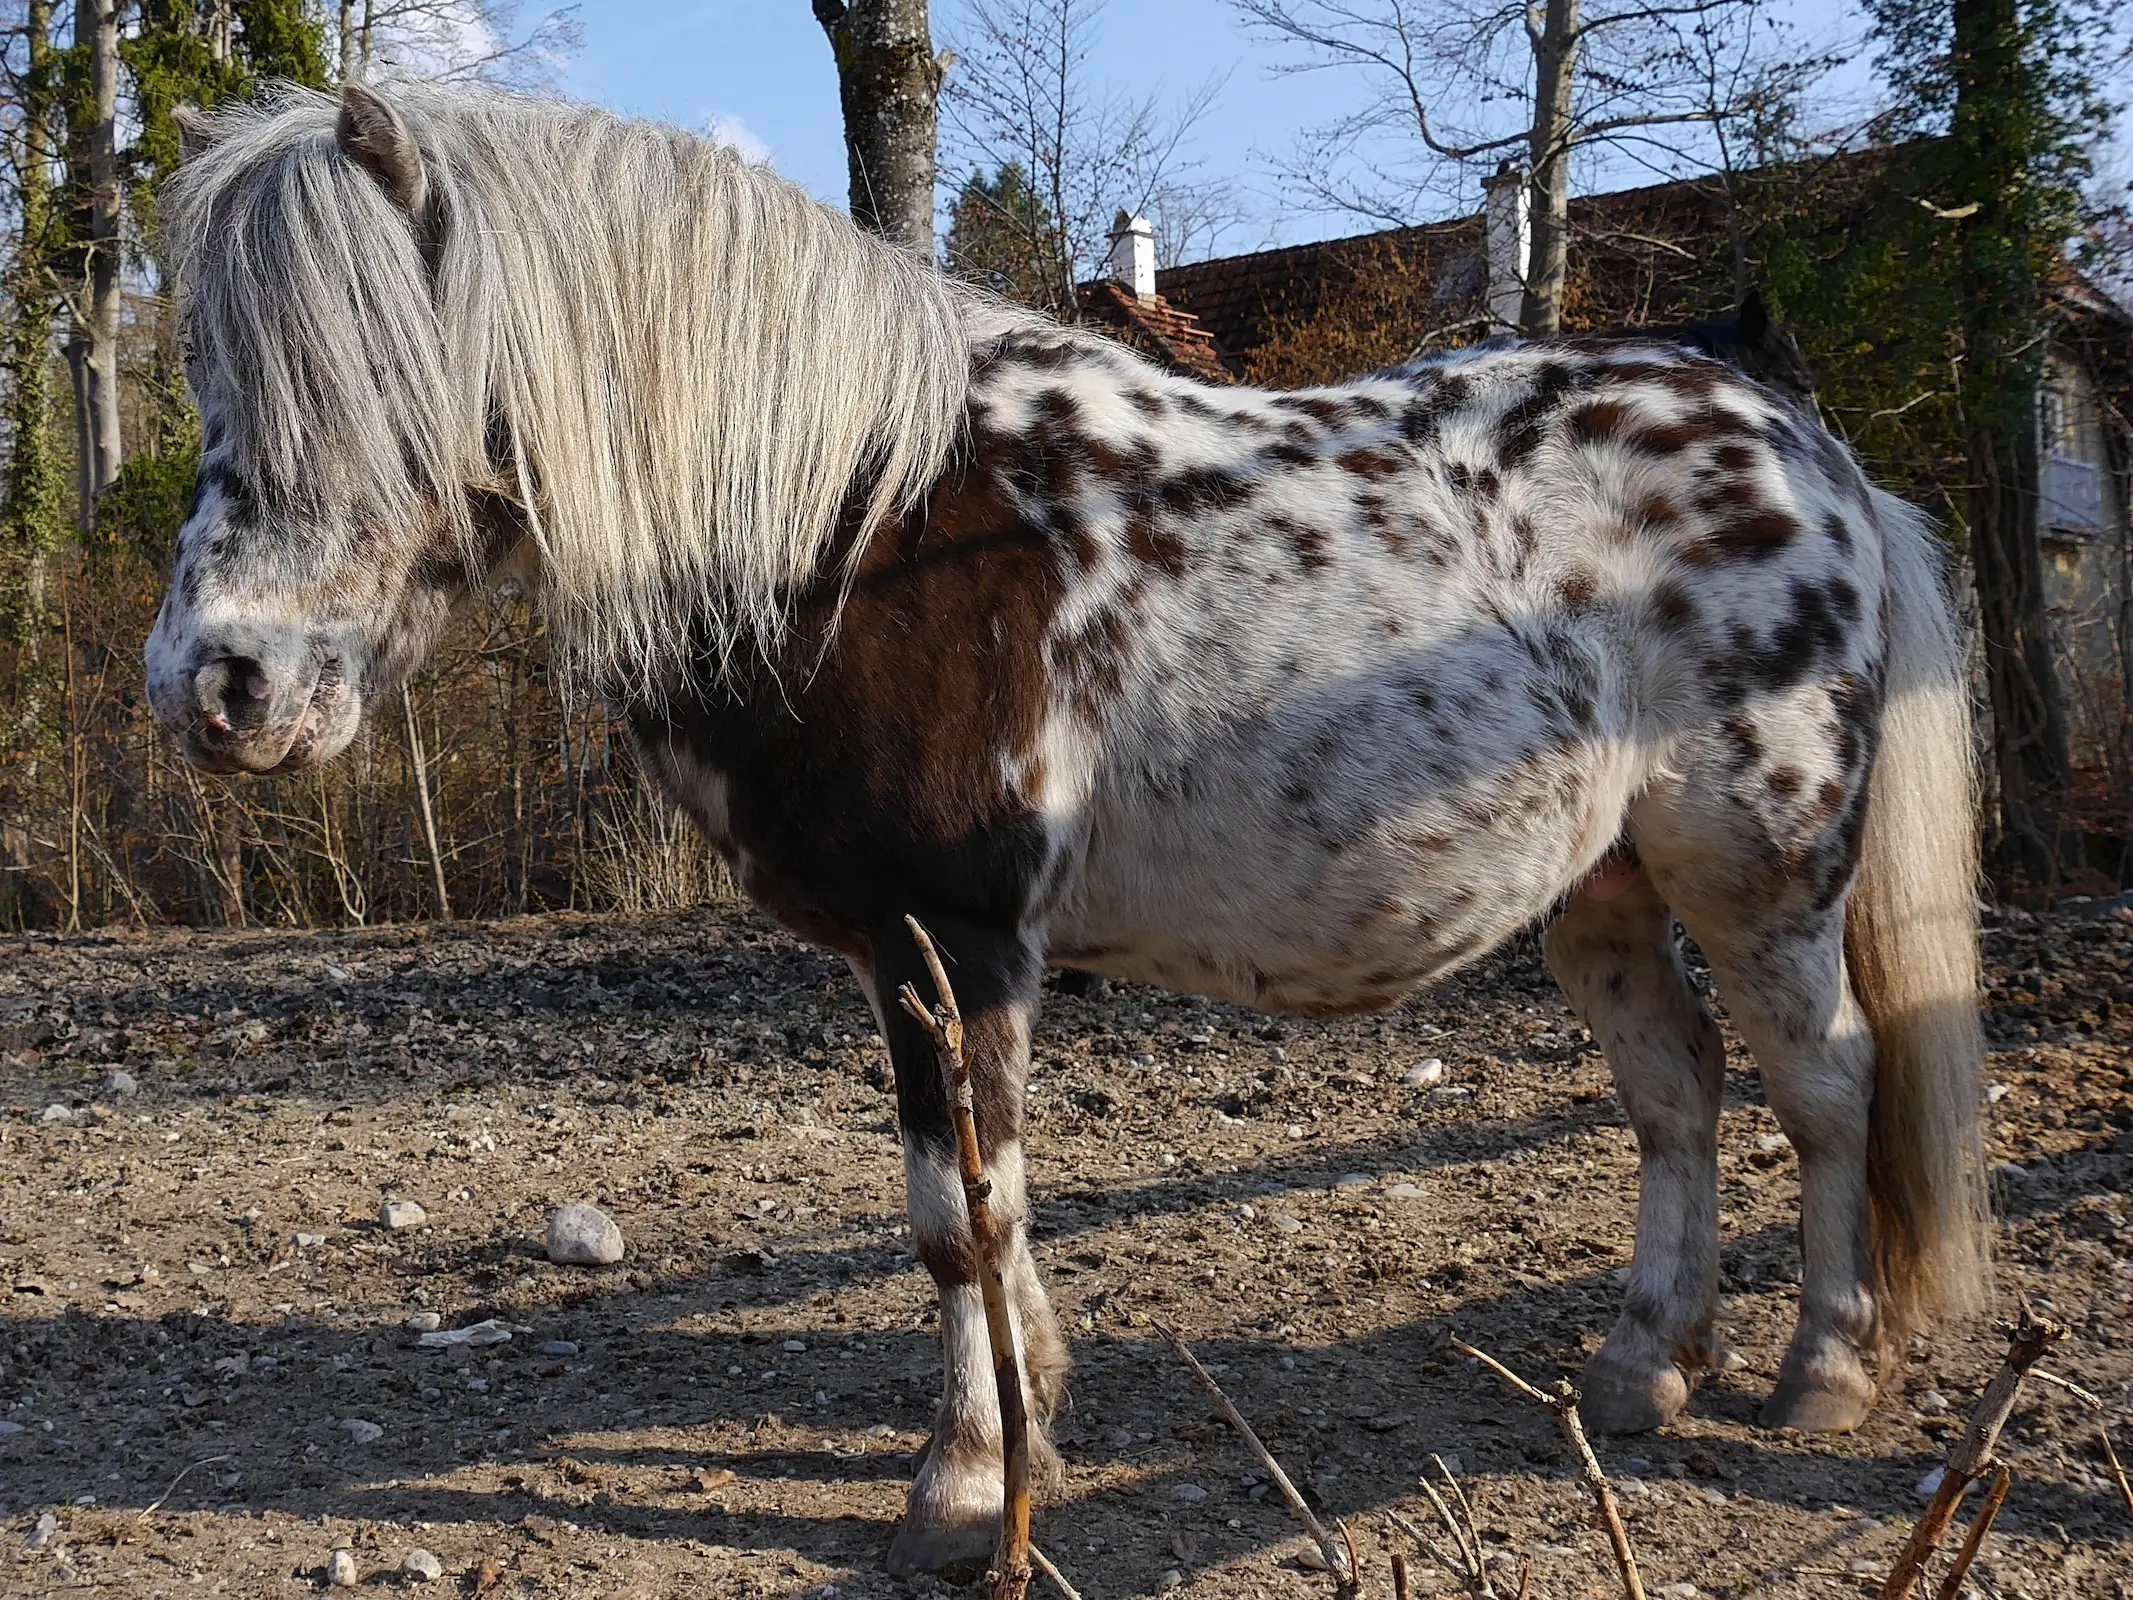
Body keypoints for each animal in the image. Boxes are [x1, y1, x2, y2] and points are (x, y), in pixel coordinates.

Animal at [146, 84, 1979, 1578]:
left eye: (377, 380)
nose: (214, 684)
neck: (863, 527)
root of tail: (1777, 416)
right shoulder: (903, 957)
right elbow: (972, 1208)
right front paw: (1032, 1408)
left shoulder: (955, 939)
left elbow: (962, 1211)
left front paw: (966, 1485)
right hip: (1600, 887)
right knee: (1676, 1090)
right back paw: (1639, 1364)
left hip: (1758, 869)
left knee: (1825, 1088)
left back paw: (1819, 1370)